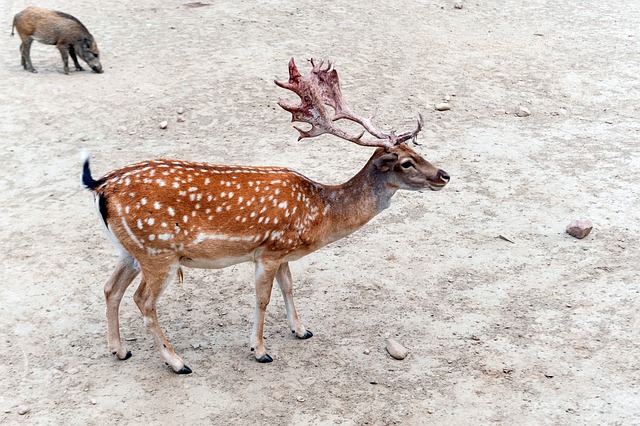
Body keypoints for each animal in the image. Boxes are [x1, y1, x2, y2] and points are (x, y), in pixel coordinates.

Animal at [81, 58, 450, 374]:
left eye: (417, 150)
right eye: (406, 162)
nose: (444, 175)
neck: (319, 213)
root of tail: (101, 186)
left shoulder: (284, 252)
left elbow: (289, 287)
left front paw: (301, 329)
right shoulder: (269, 250)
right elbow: (263, 298)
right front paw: (260, 350)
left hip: (131, 250)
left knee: (110, 288)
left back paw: (120, 349)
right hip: (158, 251)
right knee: (143, 300)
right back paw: (176, 361)